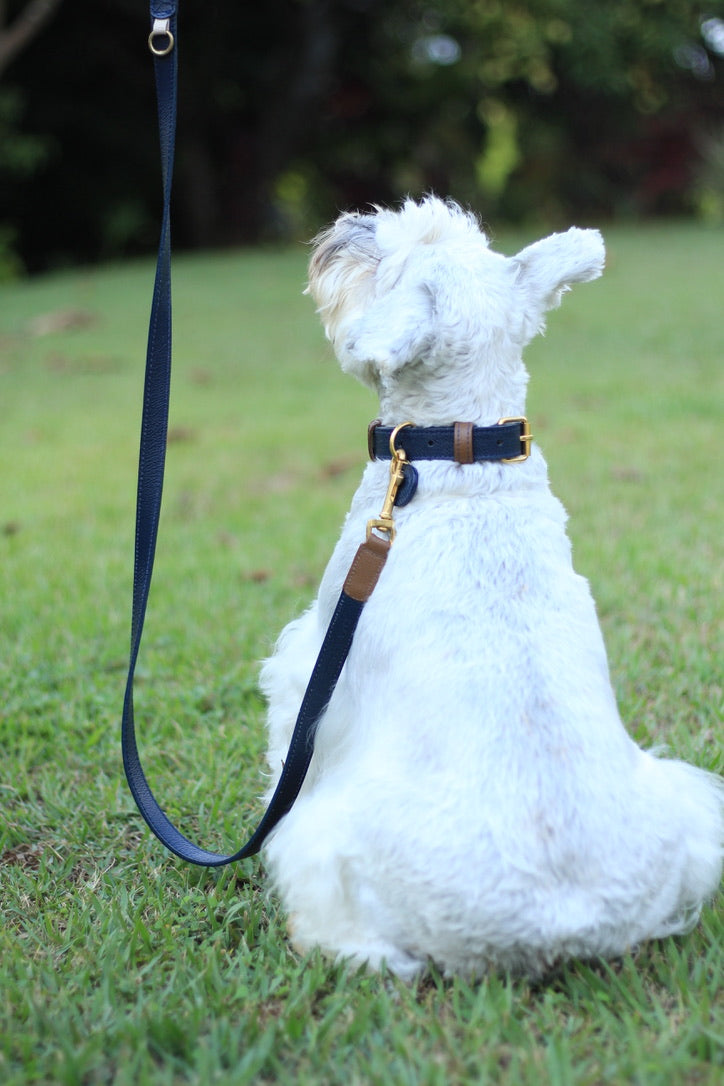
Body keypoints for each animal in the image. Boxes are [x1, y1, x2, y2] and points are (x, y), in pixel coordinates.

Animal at [259, 199, 720, 981]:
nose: (349, 224)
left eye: (391, 254)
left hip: (329, 847)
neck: (461, 443)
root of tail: (557, 925)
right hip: (686, 803)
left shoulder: (314, 665)